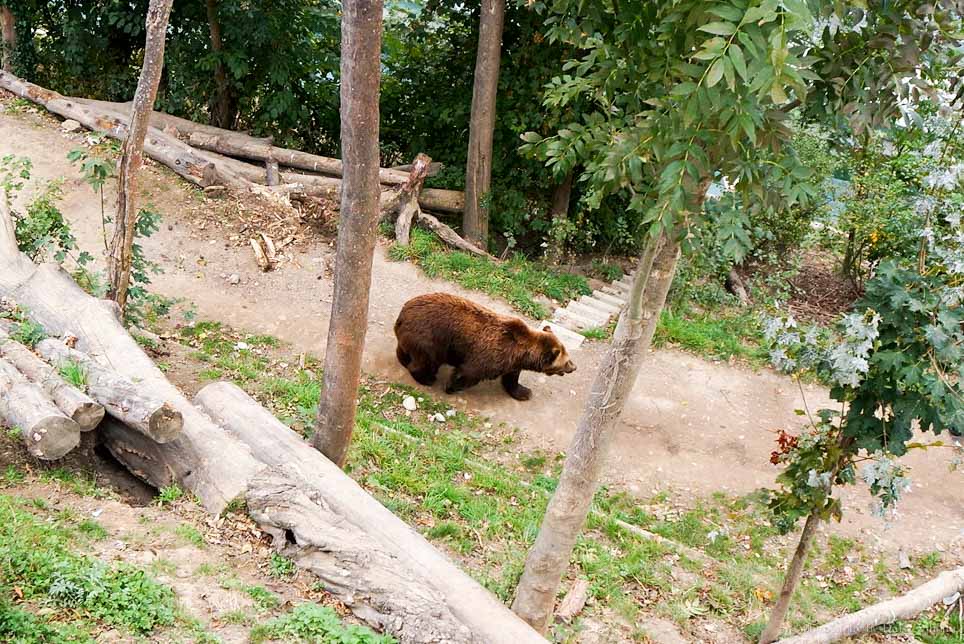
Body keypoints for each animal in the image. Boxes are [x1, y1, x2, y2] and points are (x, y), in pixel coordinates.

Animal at [394, 294, 576, 402]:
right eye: (567, 361)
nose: (574, 367)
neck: (521, 353)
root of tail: (403, 313)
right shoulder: (492, 354)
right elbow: (469, 372)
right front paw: (451, 387)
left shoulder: (512, 363)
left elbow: (511, 379)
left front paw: (524, 392)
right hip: (430, 339)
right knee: (427, 361)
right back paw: (427, 378)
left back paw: (404, 359)